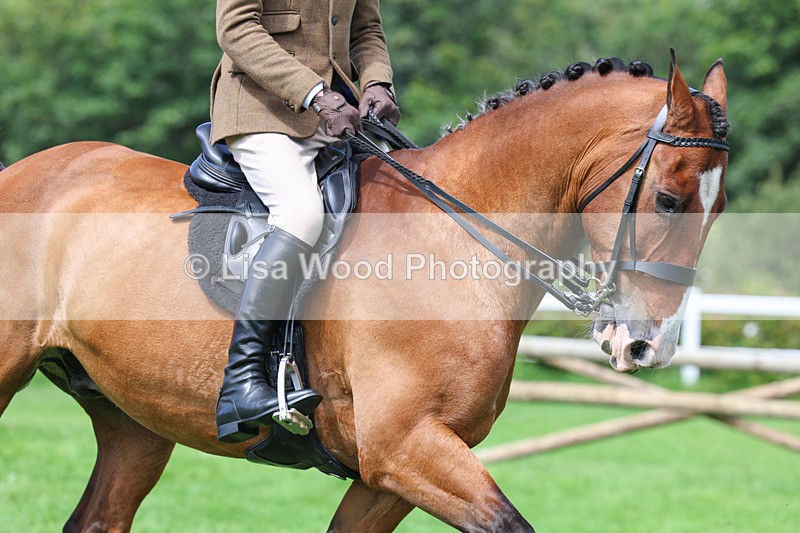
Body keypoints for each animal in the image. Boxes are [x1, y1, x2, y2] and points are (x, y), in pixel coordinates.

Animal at [0, 53, 728, 531]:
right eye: (668, 200)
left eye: (718, 210)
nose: (646, 346)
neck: (454, 243)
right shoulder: (404, 447)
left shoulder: (393, 473)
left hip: (133, 421)